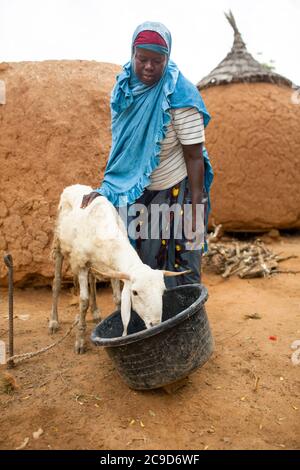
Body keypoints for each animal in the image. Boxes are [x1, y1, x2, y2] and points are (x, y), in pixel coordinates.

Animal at [49, 184, 185, 352]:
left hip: (93, 264)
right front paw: (79, 341)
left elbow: (118, 299)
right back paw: (54, 321)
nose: (155, 324)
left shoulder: (113, 267)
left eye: (163, 291)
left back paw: (95, 312)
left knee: (92, 282)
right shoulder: (81, 263)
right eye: (135, 293)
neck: (106, 233)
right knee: (56, 282)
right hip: (59, 244)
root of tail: (74, 186)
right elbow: (83, 301)